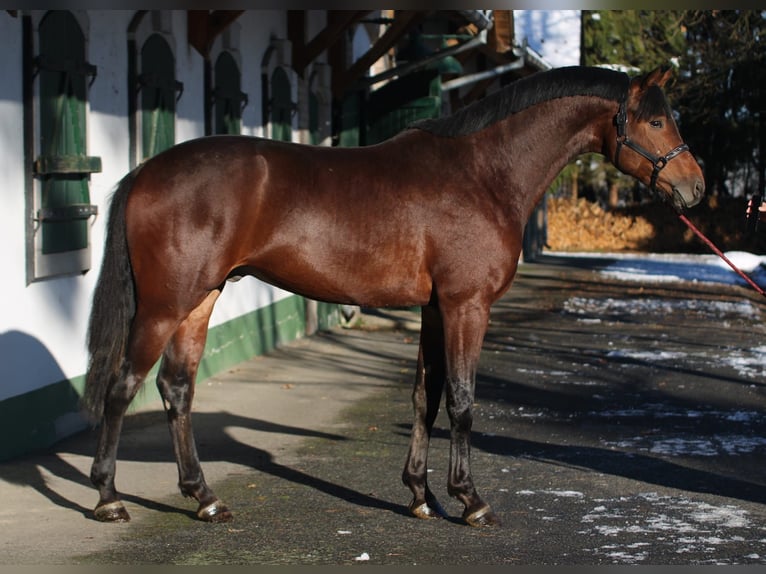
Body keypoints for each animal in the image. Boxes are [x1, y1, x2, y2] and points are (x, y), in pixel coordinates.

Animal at [81, 65, 704, 528]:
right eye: (655, 119)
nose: (695, 187)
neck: (482, 173)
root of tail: (145, 172)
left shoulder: (434, 308)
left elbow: (425, 397)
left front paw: (420, 495)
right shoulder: (466, 305)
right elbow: (462, 400)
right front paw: (470, 500)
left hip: (200, 300)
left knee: (175, 388)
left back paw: (204, 497)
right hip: (164, 306)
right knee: (122, 386)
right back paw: (109, 498)